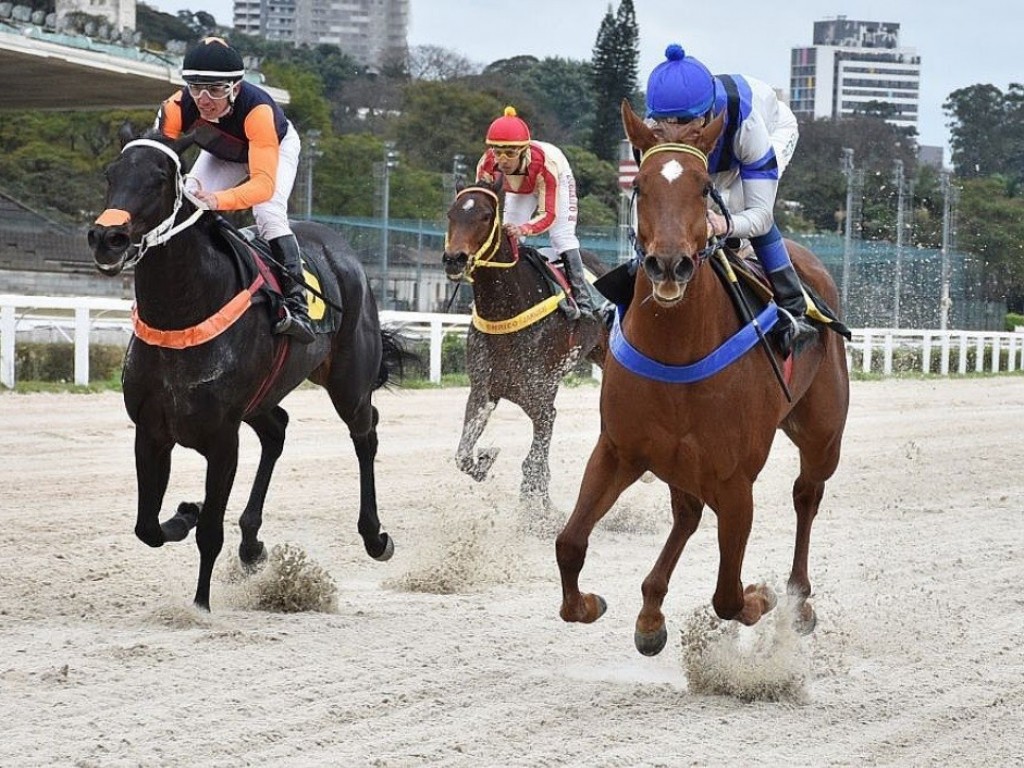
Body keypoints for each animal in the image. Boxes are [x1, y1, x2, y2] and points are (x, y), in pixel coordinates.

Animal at [442, 177, 606, 507]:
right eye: (451, 214)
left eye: (485, 216)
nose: (454, 259)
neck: (506, 310)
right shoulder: (483, 391)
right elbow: (463, 455)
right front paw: (485, 459)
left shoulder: (541, 400)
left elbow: (534, 461)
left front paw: (537, 506)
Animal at [557, 100, 851, 655]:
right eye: (640, 184)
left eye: (701, 188)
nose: (669, 264)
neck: (677, 351)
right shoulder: (619, 450)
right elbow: (569, 543)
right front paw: (588, 604)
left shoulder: (735, 482)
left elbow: (729, 596)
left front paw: (763, 596)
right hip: (677, 461)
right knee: (688, 513)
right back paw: (651, 612)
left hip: (822, 433)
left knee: (807, 494)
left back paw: (797, 600)